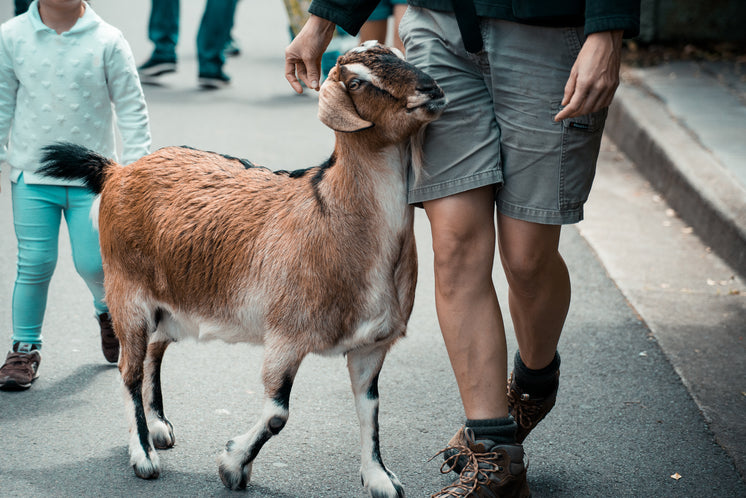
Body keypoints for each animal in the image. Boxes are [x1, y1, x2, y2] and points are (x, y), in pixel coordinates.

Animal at [39, 42, 445, 496]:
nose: (430, 89)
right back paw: (143, 454)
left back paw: (159, 426)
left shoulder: (371, 346)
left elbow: (370, 409)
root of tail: (117, 171)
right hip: (128, 293)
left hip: (170, 304)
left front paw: (379, 477)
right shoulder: (286, 335)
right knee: (128, 370)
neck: (332, 217)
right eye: (357, 81)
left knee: (153, 354)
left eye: (399, 54)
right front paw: (233, 465)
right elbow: (278, 413)